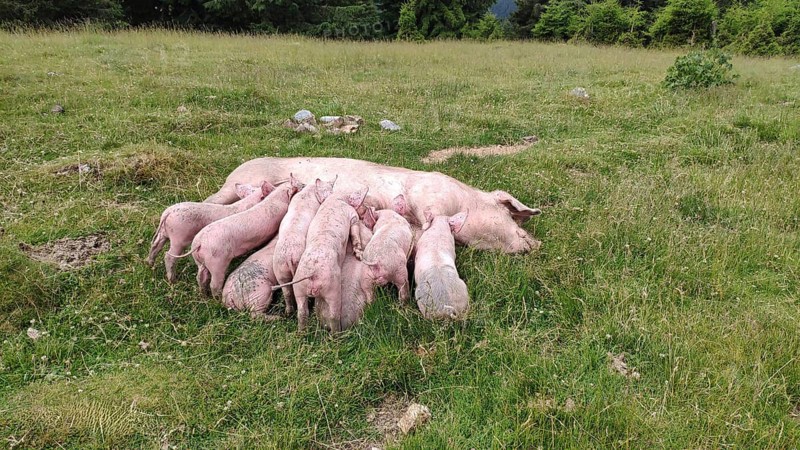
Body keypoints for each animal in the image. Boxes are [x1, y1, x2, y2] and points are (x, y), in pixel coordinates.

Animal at [203, 157, 541, 254]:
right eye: (510, 214)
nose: (536, 244)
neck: (465, 201)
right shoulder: (429, 194)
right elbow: (426, 216)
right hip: (241, 180)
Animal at [282, 188, 369, 332]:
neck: (335, 199)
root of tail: (312, 274)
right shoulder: (352, 215)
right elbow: (355, 232)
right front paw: (359, 256)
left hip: (299, 288)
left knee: (302, 312)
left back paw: (301, 333)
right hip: (332, 288)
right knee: (334, 315)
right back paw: (336, 335)